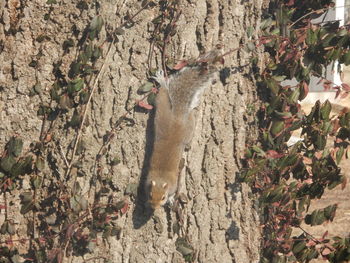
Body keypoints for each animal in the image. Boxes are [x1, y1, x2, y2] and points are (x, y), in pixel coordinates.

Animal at [146, 46, 224, 210]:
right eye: (150, 196)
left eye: (162, 197)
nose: (154, 207)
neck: (161, 176)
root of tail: (177, 116)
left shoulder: (173, 185)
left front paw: (171, 199)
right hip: (163, 107)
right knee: (163, 94)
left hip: (187, 126)